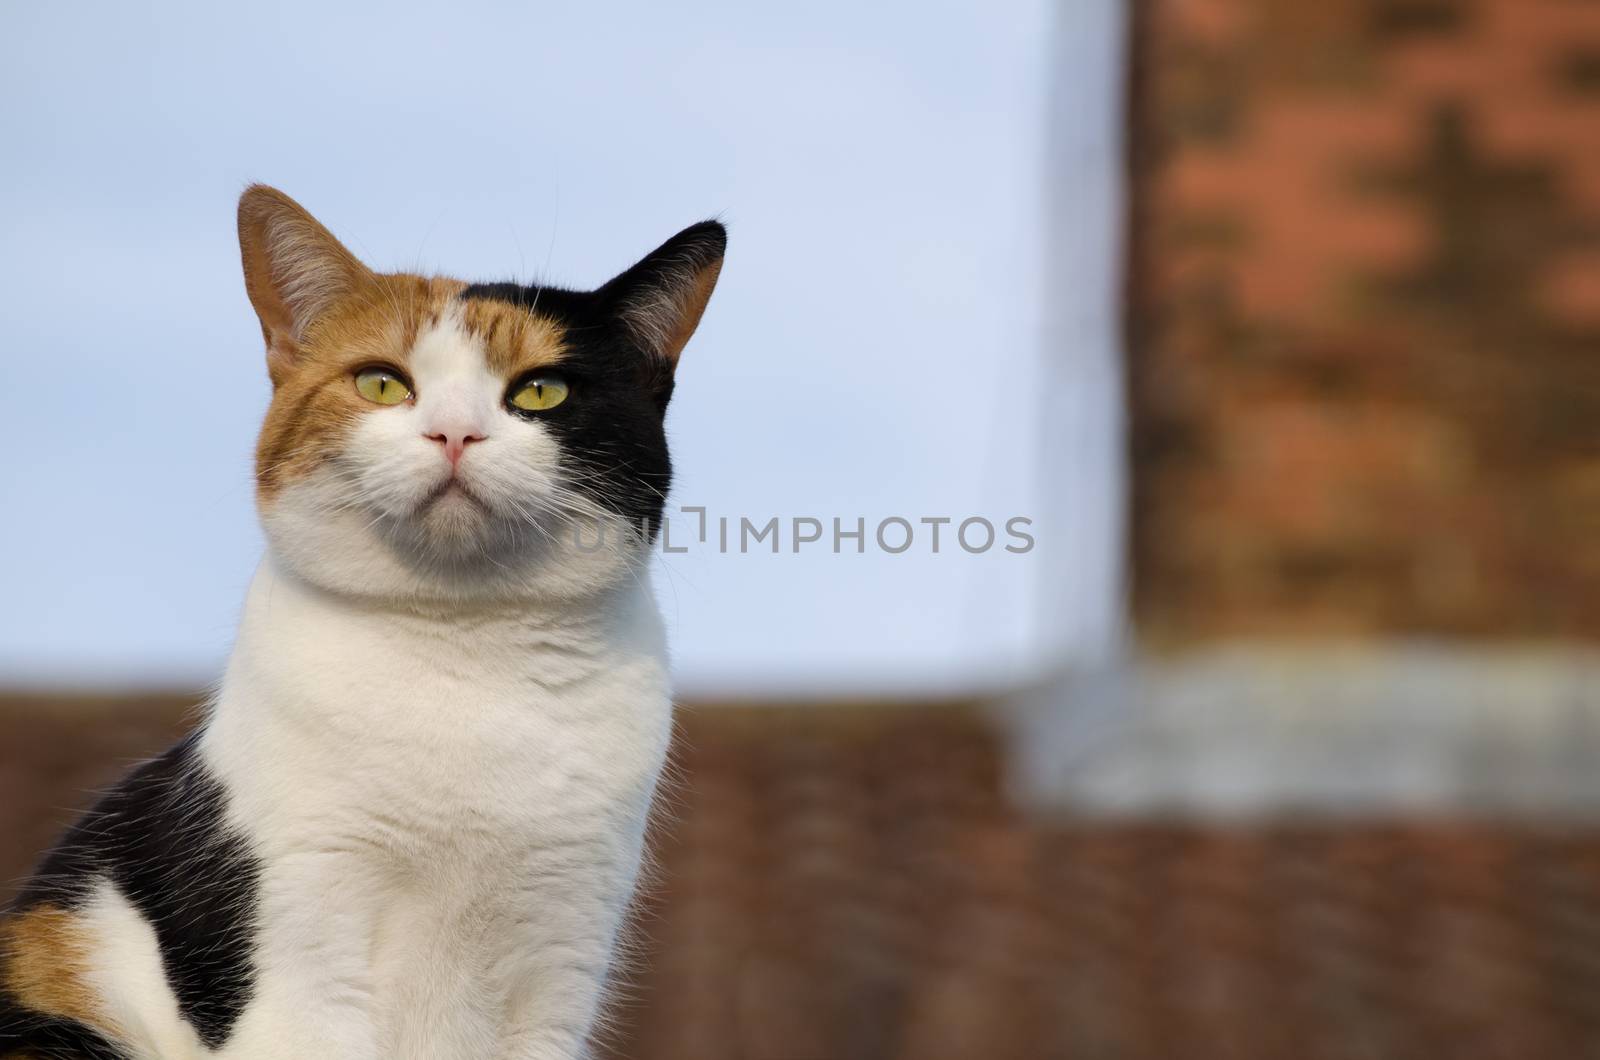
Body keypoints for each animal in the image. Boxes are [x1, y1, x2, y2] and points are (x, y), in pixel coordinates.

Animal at [0, 186, 726, 1056]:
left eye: (541, 391)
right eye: (382, 384)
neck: (466, 654)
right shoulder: (301, 956)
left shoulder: (562, 959)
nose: (455, 432)